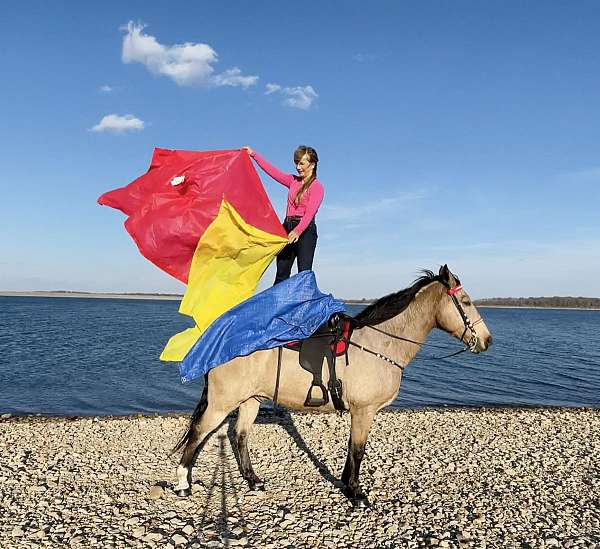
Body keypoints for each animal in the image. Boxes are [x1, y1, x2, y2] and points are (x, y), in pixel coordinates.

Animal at [172, 266, 492, 506]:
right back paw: (183, 484)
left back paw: (253, 481)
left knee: (239, 436)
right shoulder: (364, 411)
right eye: (465, 301)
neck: (379, 342)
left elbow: (352, 448)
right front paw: (357, 494)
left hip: (250, 400)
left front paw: (345, 484)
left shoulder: (359, 413)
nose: (487, 341)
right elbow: (358, 450)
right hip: (222, 403)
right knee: (199, 432)